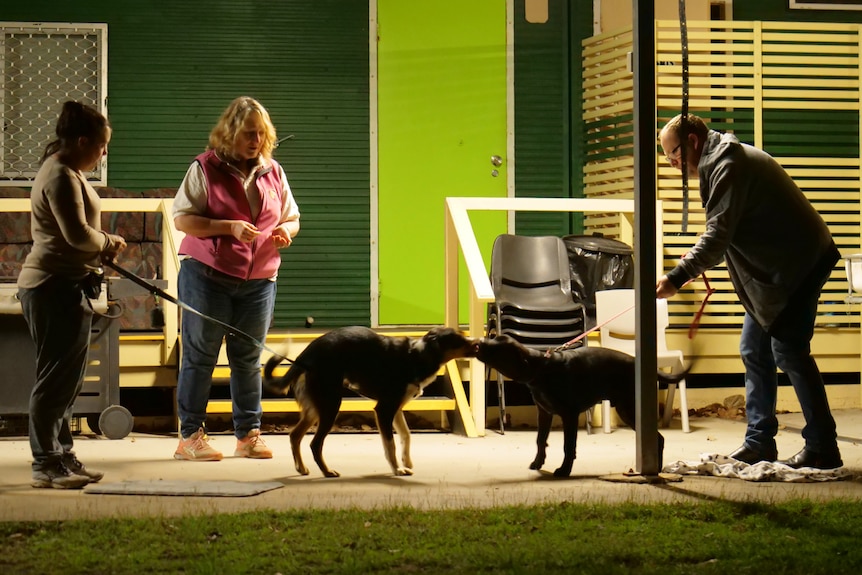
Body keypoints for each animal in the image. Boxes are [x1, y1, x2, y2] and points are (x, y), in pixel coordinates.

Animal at [264, 326, 480, 480]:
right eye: (458, 339)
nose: (478, 342)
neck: (416, 355)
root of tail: (306, 354)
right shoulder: (384, 409)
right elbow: (390, 444)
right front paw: (397, 469)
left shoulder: (396, 408)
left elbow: (406, 435)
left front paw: (406, 462)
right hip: (331, 405)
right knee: (315, 444)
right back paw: (327, 472)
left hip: (316, 408)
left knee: (295, 435)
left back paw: (301, 468)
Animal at [480, 332, 688, 476]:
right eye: (493, 338)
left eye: (498, 350)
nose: (479, 343)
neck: (542, 368)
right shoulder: (544, 412)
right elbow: (540, 440)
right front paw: (538, 463)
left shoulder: (569, 415)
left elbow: (568, 446)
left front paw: (564, 471)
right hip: (626, 409)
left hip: (630, 409)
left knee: (659, 438)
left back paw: (655, 469)